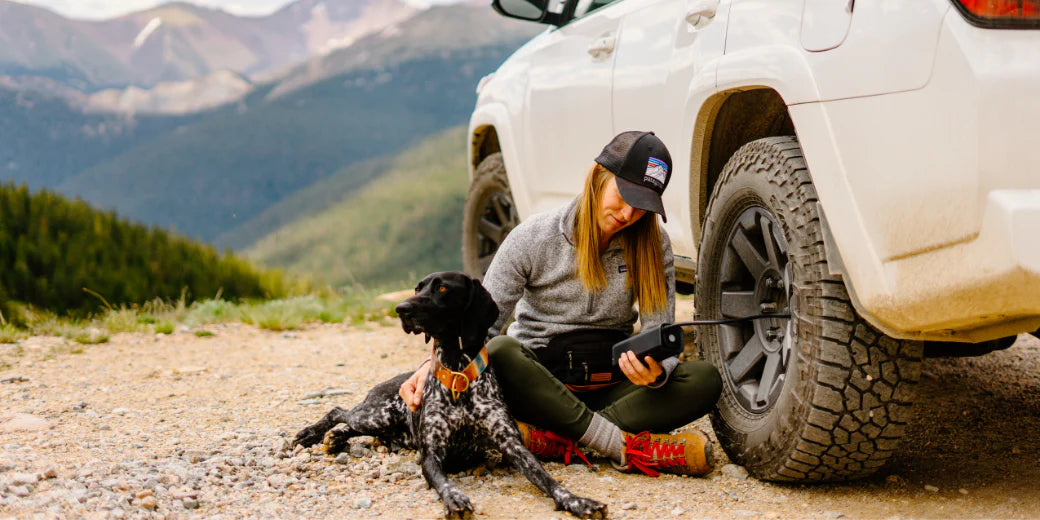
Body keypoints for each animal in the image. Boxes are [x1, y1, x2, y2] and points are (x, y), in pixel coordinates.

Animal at [291, 272, 607, 520]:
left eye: (442, 288)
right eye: (417, 288)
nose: (400, 308)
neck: (457, 374)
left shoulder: (513, 446)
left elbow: (549, 480)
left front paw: (578, 502)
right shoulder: (432, 453)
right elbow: (444, 483)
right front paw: (455, 498)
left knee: (350, 422)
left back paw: (335, 437)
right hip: (378, 414)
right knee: (339, 410)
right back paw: (312, 433)